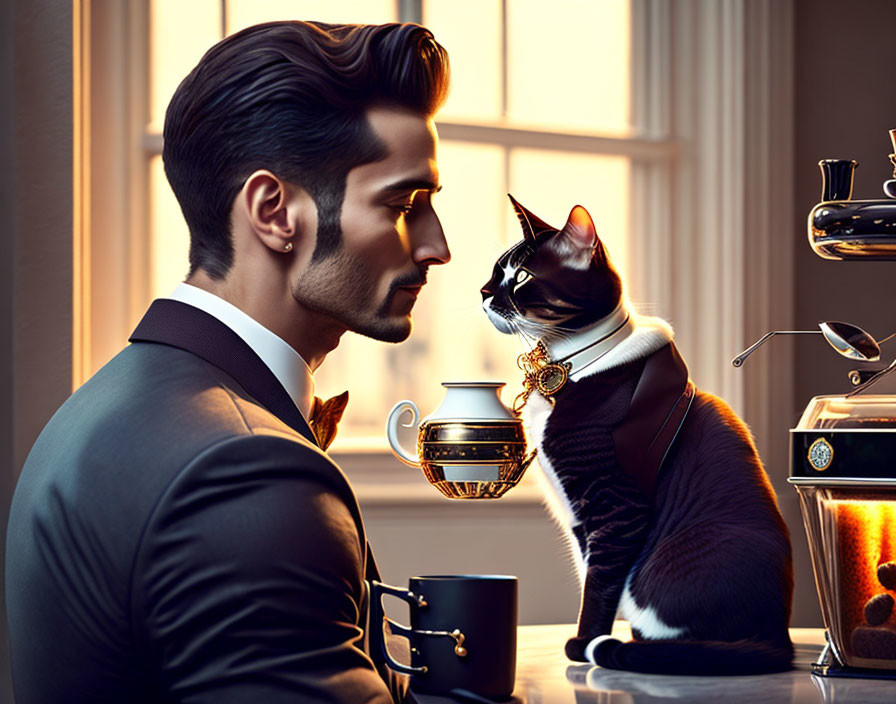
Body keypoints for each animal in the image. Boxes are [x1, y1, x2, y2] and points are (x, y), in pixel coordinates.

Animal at [480, 194, 796, 676]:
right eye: (497, 271)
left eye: (523, 277)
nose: (482, 292)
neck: (564, 367)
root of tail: (779, 639)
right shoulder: (580, 520)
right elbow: (590, 571)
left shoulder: (616, 501)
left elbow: (599, 583)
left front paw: (583, 642)